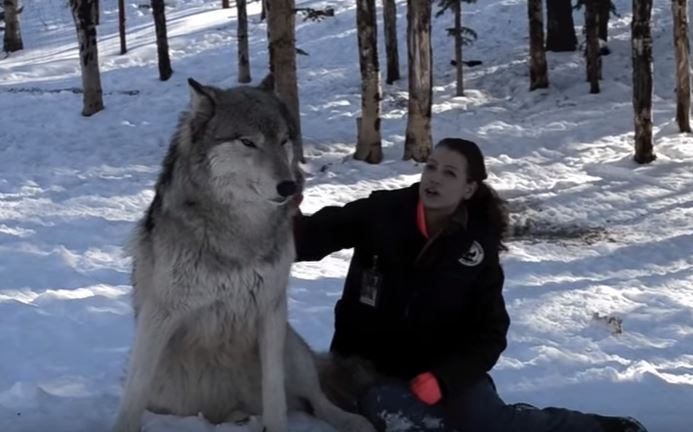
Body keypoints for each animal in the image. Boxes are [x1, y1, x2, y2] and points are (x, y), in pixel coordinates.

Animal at [111, 76, 375, 432]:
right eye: (248, 142)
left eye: (283, 140)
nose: (290, 187)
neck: (239, 233)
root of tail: (226, 406)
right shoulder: (160, 316)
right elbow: (133, 397)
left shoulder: (271, 310)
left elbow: (275, 394)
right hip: (166, 390)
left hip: (292, 347)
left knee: (317, 400)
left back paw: (352, 421)